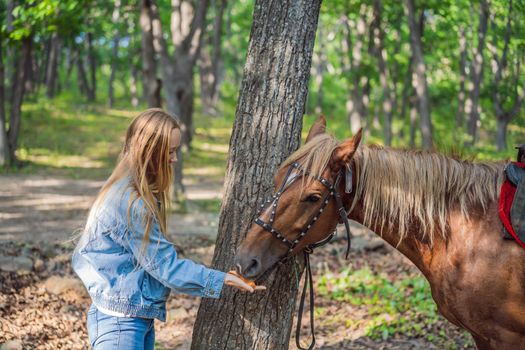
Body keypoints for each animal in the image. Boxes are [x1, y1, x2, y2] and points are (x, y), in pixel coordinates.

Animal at [235, 117, 524, 350]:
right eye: (276, 180)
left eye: (313, 197)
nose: (245, 259)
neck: (466, 232)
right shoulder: (482, 336)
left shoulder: (504, 337)